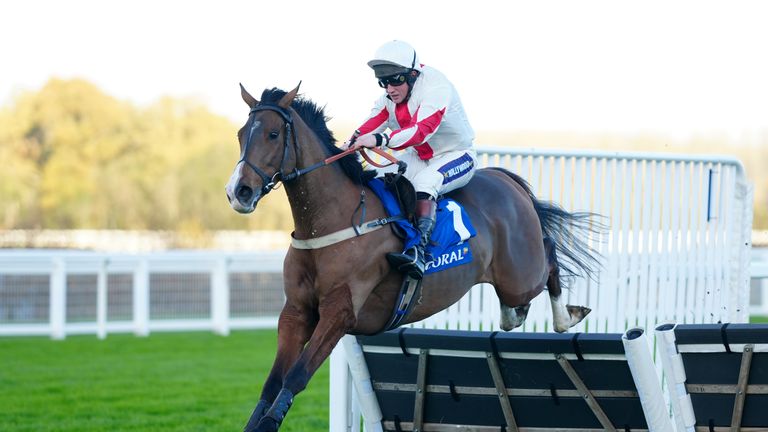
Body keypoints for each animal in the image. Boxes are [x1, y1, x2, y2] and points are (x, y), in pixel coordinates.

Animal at [225, 82, 604, 430]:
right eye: (242, 134)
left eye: (273, 134)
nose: (239, 192)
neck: (331, 222)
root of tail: (504, 179)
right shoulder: (296, 312)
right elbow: (272, 382)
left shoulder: (340, 312)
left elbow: (296, 376)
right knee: (519, 302)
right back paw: (519, 315)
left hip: (520, 275)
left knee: (549, 257)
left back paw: (565, 317)